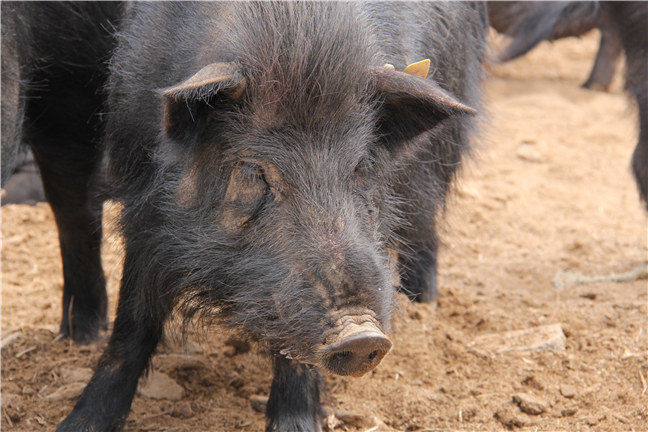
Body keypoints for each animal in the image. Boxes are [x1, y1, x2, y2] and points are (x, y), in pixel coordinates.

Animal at [24, 1, 486, 430]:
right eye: (255, 171)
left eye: (360, 166)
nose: (360, 335)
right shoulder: (142, 203)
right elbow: (133, 320)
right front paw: (78, 423)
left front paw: (293, 425)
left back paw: (425, 302)